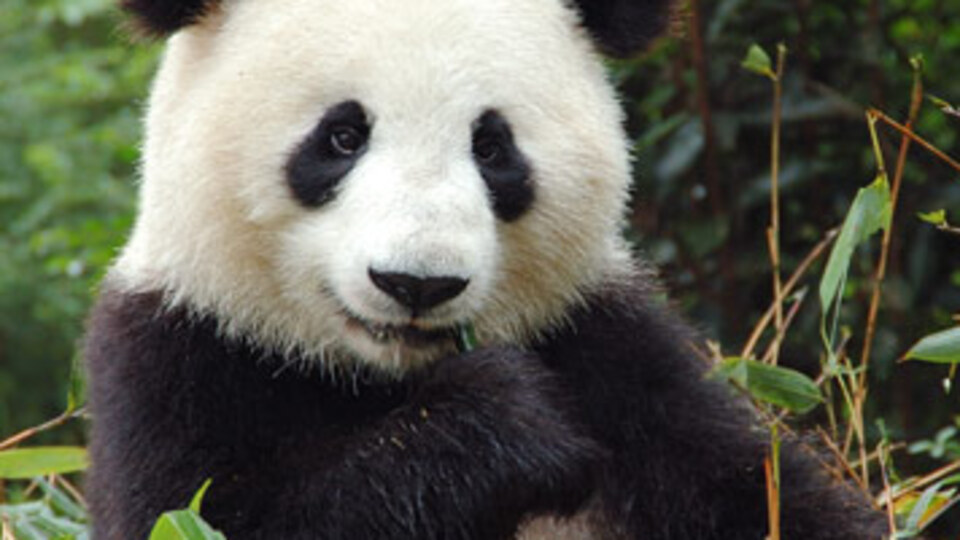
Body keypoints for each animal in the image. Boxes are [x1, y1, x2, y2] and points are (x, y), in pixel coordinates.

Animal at [84, 0, 887, 538]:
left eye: (493, 147)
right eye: (342, 135)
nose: (417, 283)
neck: (385, 380)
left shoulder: (615, 354)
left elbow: (760, 491)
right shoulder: (180, 355)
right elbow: (212, 513)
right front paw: (504, 425)